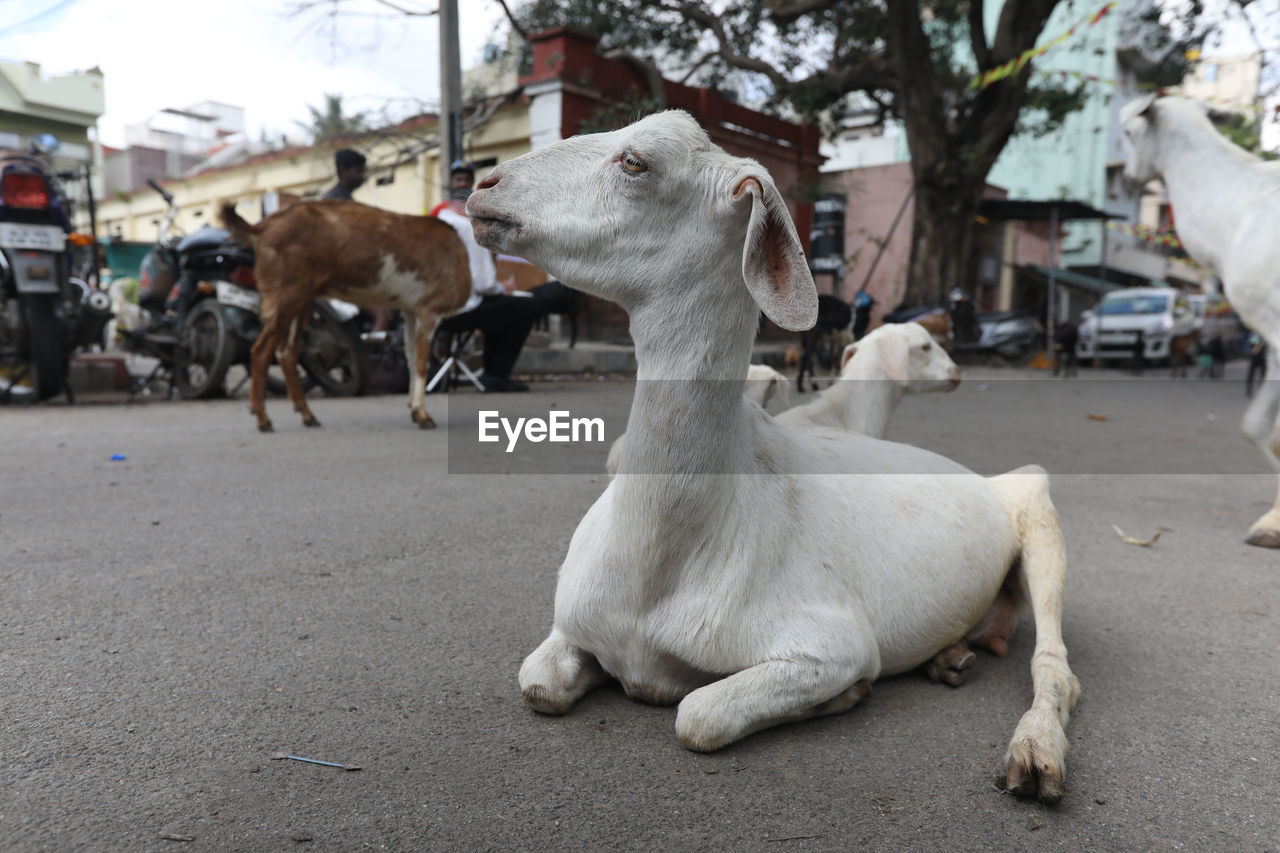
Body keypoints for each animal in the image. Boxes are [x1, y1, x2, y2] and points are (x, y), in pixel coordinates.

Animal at [220, 201, 471, 432]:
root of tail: (261, 227)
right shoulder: (431, 307)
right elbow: (421, 361)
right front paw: (422, 414)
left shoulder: (411, 309)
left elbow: (411, 356)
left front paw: (413, 408)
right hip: (286, 292)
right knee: (261, 351)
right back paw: (263, 419)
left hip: (298, 297)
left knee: (286, 353)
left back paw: (307, 415)